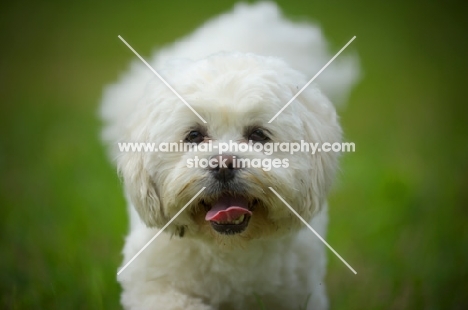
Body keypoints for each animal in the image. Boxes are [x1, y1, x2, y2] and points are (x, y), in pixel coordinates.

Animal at [101, 3, 358, 310]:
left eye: (258, 134)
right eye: (194, 135)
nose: (223, 165)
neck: (230, 248)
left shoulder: (300, 294)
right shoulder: (151, 287)